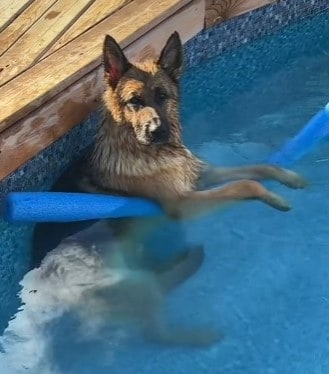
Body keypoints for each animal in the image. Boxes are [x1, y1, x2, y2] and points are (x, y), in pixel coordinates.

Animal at [1, 30, 306, 372]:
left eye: (162, 96)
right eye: (134, 101)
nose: (157, 131)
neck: (145, 150)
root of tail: (38, 297)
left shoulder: (202, 175)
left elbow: (257, 168)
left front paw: (290, 177)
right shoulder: (184, 204)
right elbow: (245, 183)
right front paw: (273, 198)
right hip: (137, 284)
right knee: (155, 332)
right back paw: (198, 334)